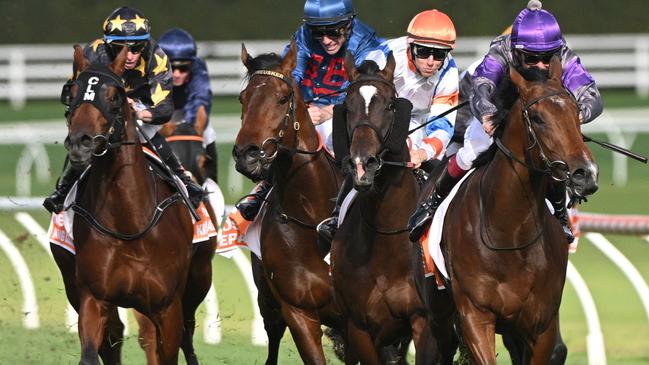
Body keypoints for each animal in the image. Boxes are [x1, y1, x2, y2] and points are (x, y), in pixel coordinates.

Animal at [54, 45, 210, 364]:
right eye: (72, 92)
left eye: (114, 96)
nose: (80, 142)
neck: (129, 222)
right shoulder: (93, 298)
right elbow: (93, 351)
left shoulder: (167, 307)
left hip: (196, 282)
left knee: (186, 335)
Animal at [330, 52, 456, 362]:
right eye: (347, 107)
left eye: (389, 105)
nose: (362, 164)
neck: (385, 235)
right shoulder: (359, 327)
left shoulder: (423, 322)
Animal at [438, 56, 600, 362]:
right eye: (537, 118)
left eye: (576, 113)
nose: (586, 173)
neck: (509, 233)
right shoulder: (475, 317)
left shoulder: (541, 325)